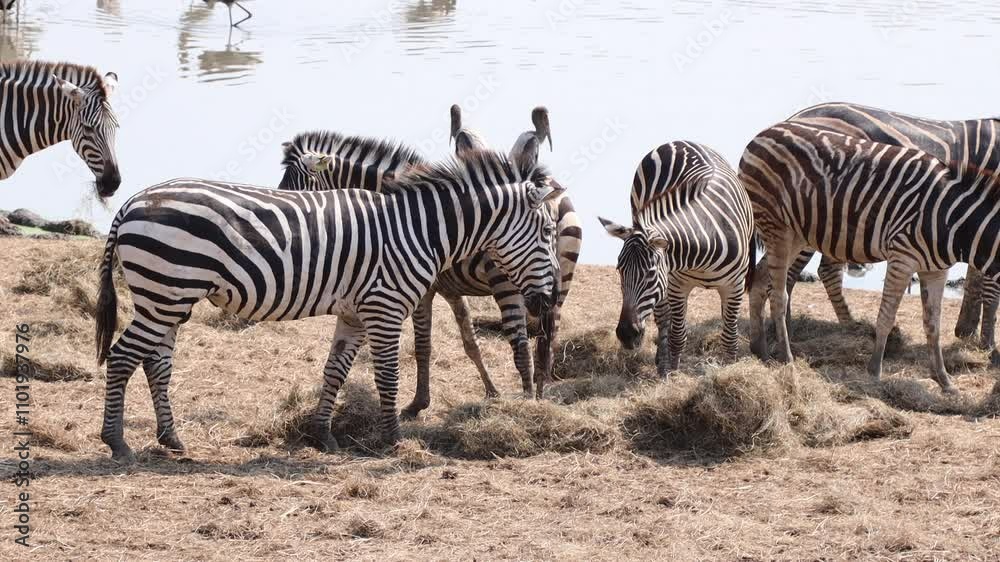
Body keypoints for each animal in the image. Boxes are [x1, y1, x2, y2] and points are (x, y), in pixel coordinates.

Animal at [596, 140, 752, 372]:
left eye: (650, 273)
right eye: (620, 270)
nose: (626, 335)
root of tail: (676, 142)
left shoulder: (735, 286)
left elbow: (729, 337)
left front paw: (729, 369)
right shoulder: (677, 285)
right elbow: (678, 336)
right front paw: (672, 371)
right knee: (663, 318)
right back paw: (662, 361)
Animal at [740, 119, 1000, 390]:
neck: (953, 219)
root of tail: (761, 134)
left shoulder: (936, 270)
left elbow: (934, 325)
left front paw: (944, 380)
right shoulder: (902, 257)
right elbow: (886, 316)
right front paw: (874, 371)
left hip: (795, 235)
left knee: (760, 282)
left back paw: (760, 350)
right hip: (776, 226)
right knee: (778, 295)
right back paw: (787, 358)